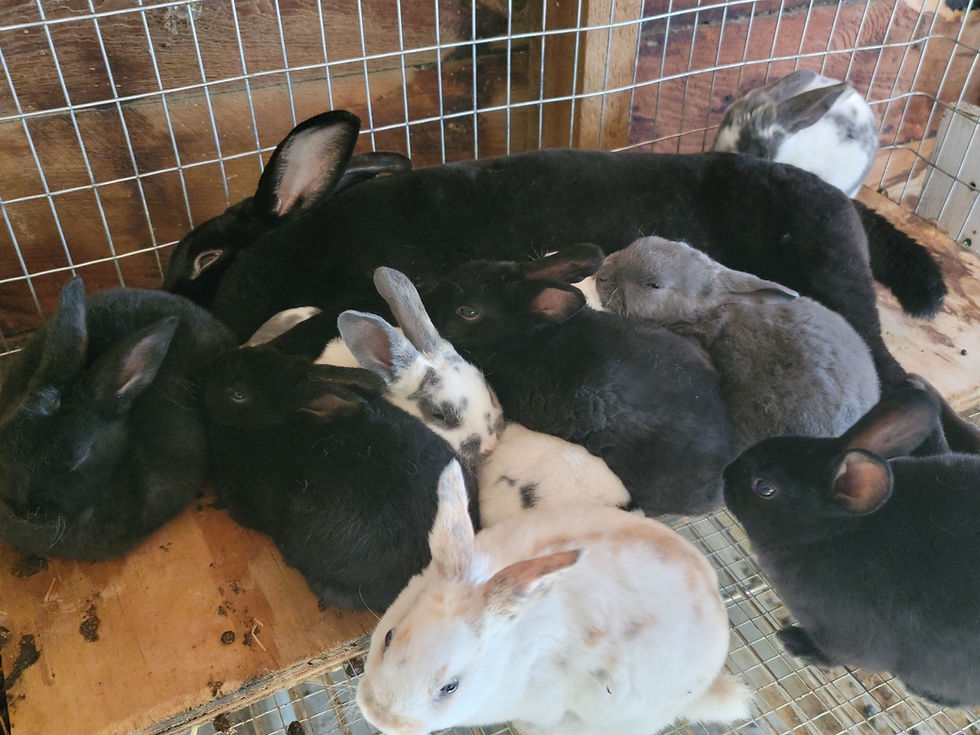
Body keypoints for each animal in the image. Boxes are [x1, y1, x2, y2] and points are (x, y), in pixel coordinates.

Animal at [723, 383, 980, 708]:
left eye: (764, 488)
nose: (725, 474)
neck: (832, 533)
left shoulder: (844, 636)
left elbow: (837, 655)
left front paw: (796, 643)